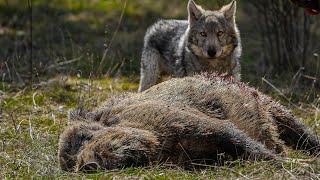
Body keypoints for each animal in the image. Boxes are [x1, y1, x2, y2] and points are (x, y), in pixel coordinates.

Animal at [59, 74, 318, 172]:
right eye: (70, 163)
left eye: (88, 137)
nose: (88, 165)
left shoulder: (199, 124)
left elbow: (248, 145)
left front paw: (301, 166)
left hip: (272, 105)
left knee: (301, 135)